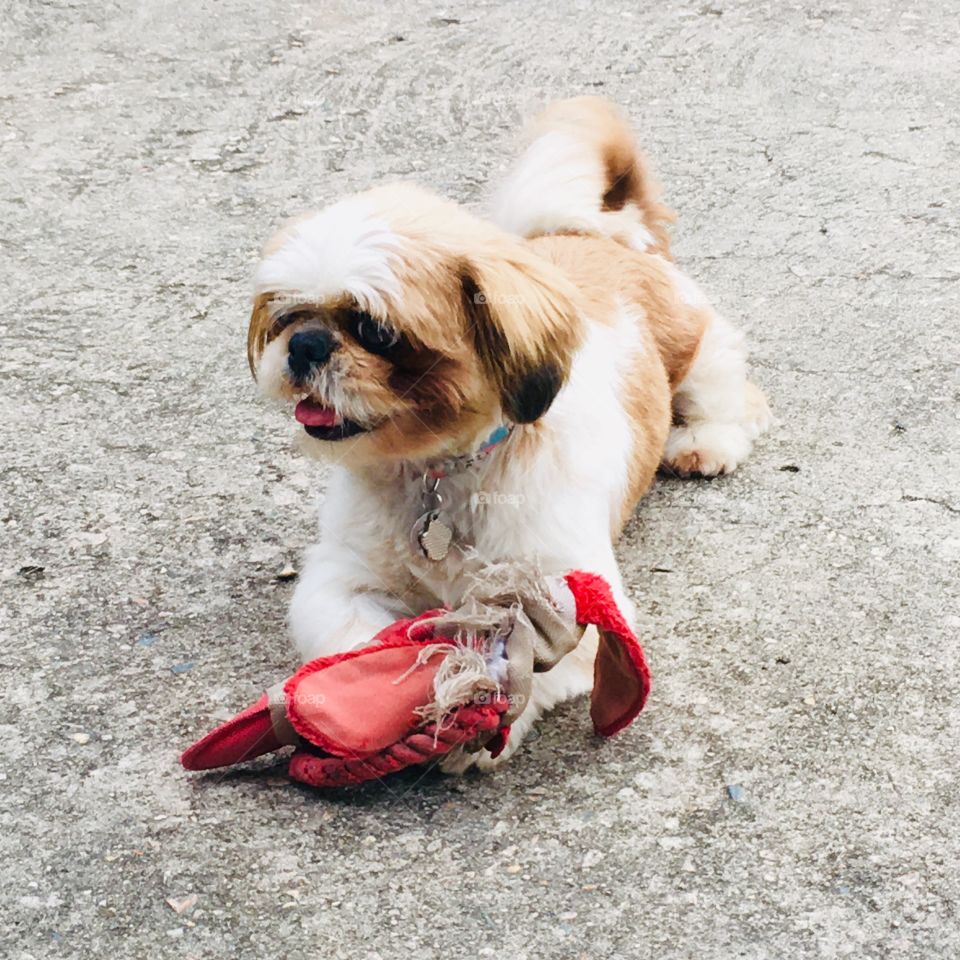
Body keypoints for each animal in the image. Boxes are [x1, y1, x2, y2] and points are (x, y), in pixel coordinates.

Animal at [248, 95, 772, 772]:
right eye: (287, 315)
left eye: (377, 331)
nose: (307, 345)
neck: (440, 470)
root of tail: (602, 234)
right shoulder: (342, 578)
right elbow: (360, 641)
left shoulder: (565, 587)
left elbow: (540, 659)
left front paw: (473, 718)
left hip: (697, 344)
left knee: (727, 389)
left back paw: (705, 442)